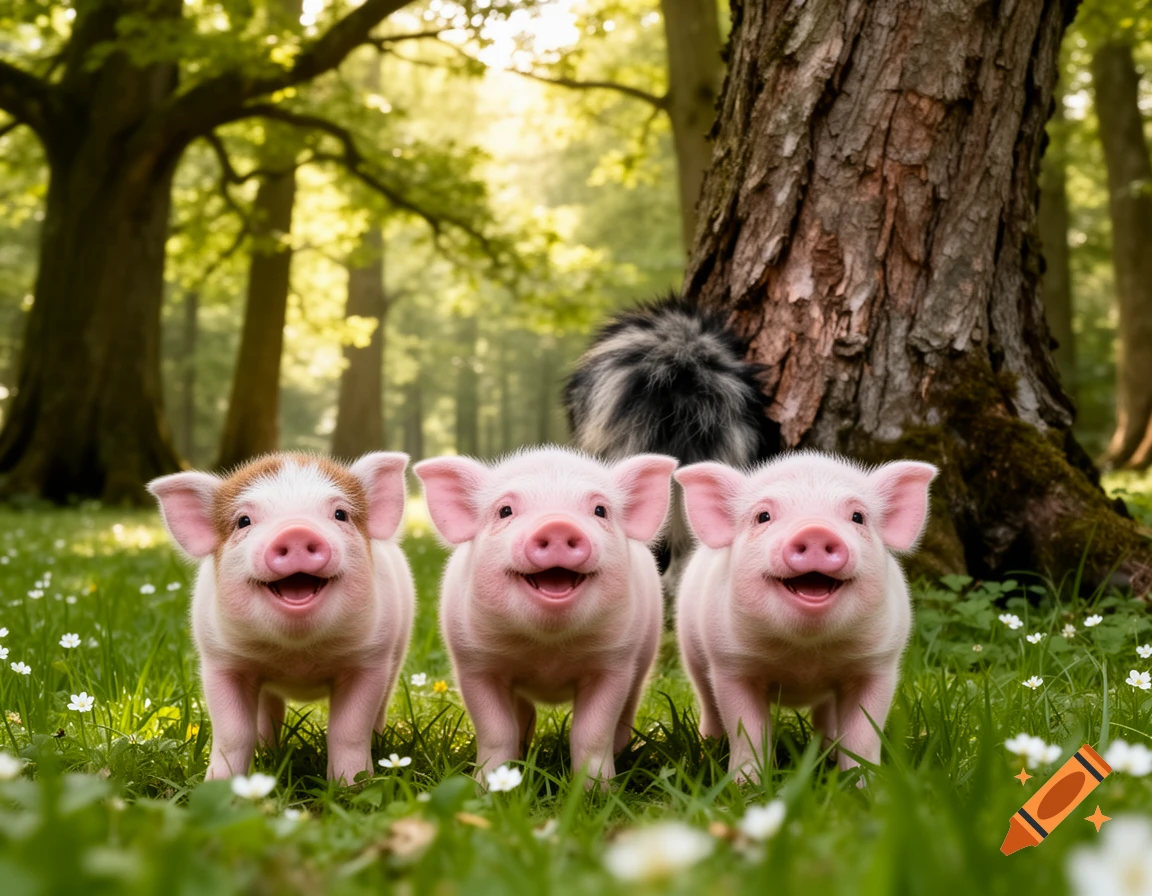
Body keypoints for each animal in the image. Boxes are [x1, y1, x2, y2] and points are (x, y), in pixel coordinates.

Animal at [147, 452, 415, 784]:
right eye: (243, 521)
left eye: (340, 514)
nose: (296, 530)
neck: (296, 658)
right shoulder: (221, 662)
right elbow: (233, 734)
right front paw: (218, 786)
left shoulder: (369, 660)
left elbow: (349, 730)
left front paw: (350, 786)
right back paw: (267, 751)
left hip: (397, 653)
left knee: (382, 703)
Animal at [414, 447, 676, 785]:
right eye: (505, 511)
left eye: (600, 510)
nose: (558, 525)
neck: (548, 653)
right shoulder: (474, 663)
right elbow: (496, 731)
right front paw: (486, 786)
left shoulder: (613, 663)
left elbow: (592, 733)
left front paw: (597, 790)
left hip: (643, 659)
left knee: (628, 707)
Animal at [674, 451, 937, 783]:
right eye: (763, 516)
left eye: (857, 517)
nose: (815, 530)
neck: (805, 657)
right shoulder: (731, 665)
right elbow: (748, 731)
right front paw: (746, 785)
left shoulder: (877, 664)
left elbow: (863, 734)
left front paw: (864, 785)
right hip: (692, 654)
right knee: (707, 700)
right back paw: (710, 743)